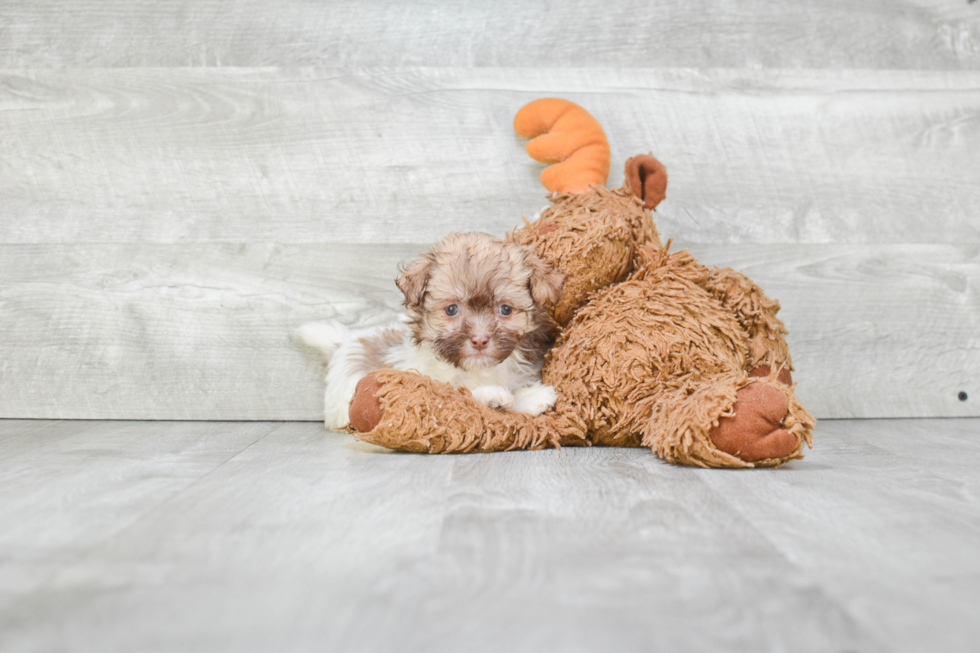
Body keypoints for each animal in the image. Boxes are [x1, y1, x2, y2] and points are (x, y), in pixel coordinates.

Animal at [294, 232, 564, 430]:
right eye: (452, 309)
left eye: (505, 309)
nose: (479, 340)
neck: (478, 370)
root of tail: (345, 342)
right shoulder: (431, 383)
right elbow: (460, 394)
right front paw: (495, 396)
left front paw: (529, 397)